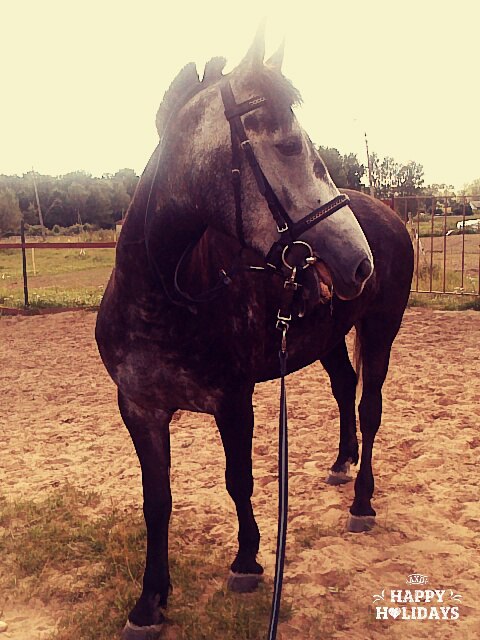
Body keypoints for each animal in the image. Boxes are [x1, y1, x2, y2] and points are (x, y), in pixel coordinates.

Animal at [95, 28, 413, 639]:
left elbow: (238, 480)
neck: (162, 299)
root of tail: (388, 216)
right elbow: (157, 501)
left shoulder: (233, 402)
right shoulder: (140, 409)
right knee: (344, 388)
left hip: (380, 331)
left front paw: (246, 562)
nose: (358, 262)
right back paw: (341, 463)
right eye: (288, 146)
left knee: (369, 408)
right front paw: (150, 602)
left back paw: (362, 503)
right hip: (326, 337)